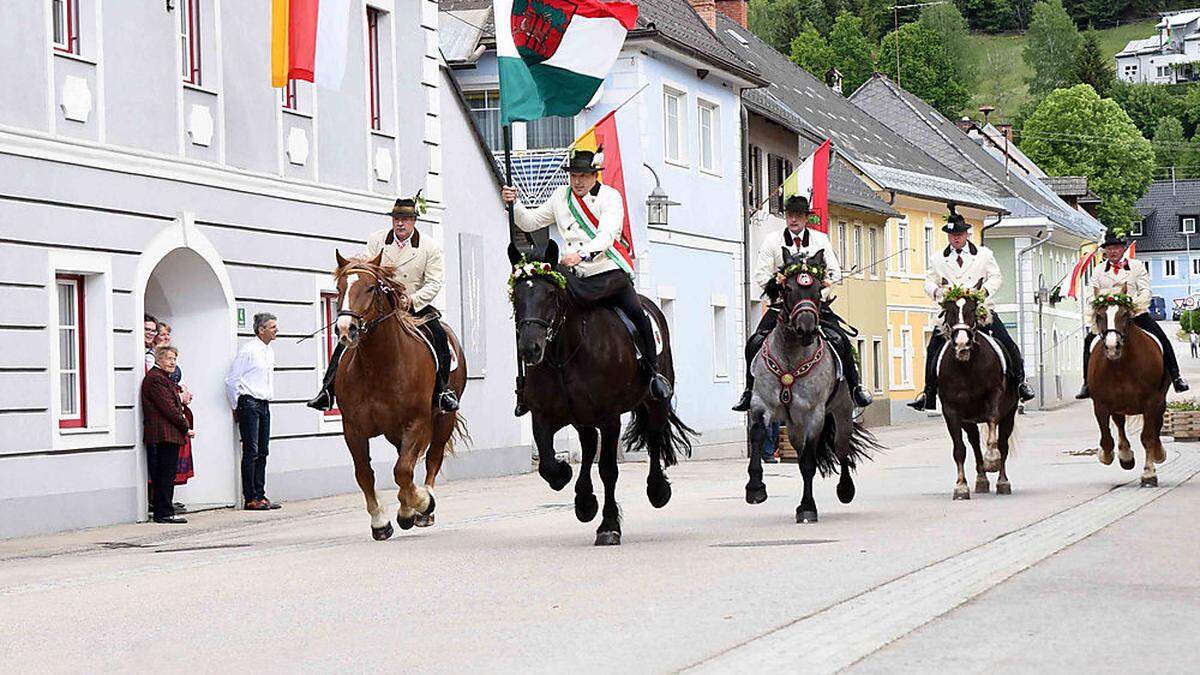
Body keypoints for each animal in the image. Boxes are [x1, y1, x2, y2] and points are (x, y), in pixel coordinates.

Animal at [336, 249, 470, 538]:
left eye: (371, 287)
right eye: (340, 288)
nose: (345, 329)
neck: (378, 366)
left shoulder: (416, 422)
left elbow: (403, 469)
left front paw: (421, 503)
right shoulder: (352, 428)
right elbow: (365, 473)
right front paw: (380, 521)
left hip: (443, 419)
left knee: (432, 459)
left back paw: (423, 508)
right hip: (394, 431)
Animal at [504, 239, 696, 542]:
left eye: (550, 294)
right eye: (516, 295)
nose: (529, 348)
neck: (565, 355)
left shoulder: (609, 418)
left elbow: (608, 469)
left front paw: (608, 525)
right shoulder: (543, 416)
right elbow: (547, 464)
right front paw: (566, 477)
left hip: (654, 401)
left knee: (654, 437)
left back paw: (657, 490)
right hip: (582, 418)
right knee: (588, 445)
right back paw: (584, 501)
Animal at [744, 249, 878, 523]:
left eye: (817, 289)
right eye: (788, 289)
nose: (805, 328)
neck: (791, 355)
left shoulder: (813, 414)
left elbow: (808, 463)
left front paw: (807, 507)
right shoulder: (761, 404)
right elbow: (759, 435)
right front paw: (755, 488)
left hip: (841, 413)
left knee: (841, 448)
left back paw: (845, 489)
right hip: (793, 426)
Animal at [931, 279, 1017, 499]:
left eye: (972, 308)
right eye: (949, 310)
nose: (962, 343)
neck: (966, 367)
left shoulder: (994, 396)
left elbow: (993, 426)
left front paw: (992, 458)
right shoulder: (951, 411)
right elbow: (959, 449)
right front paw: (961, 486)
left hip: (1010, 414)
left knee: (1003, 443)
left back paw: (1002, 481)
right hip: (968, 421)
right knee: (974, 443)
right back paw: (981, 479)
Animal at [1089, 282, 1161, 482]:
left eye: (1125, 315)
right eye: (1100, 315)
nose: (1112, 347)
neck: (1121, 366)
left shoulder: (1151, 401)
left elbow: (1148, 437)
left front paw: (1149, 473)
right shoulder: (1101, 404)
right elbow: (1106, 439)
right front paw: (1109, 455)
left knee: (1157, 425)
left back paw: (1158, 453)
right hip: (1119, 405)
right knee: (1119, 423)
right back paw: (1125, 455)